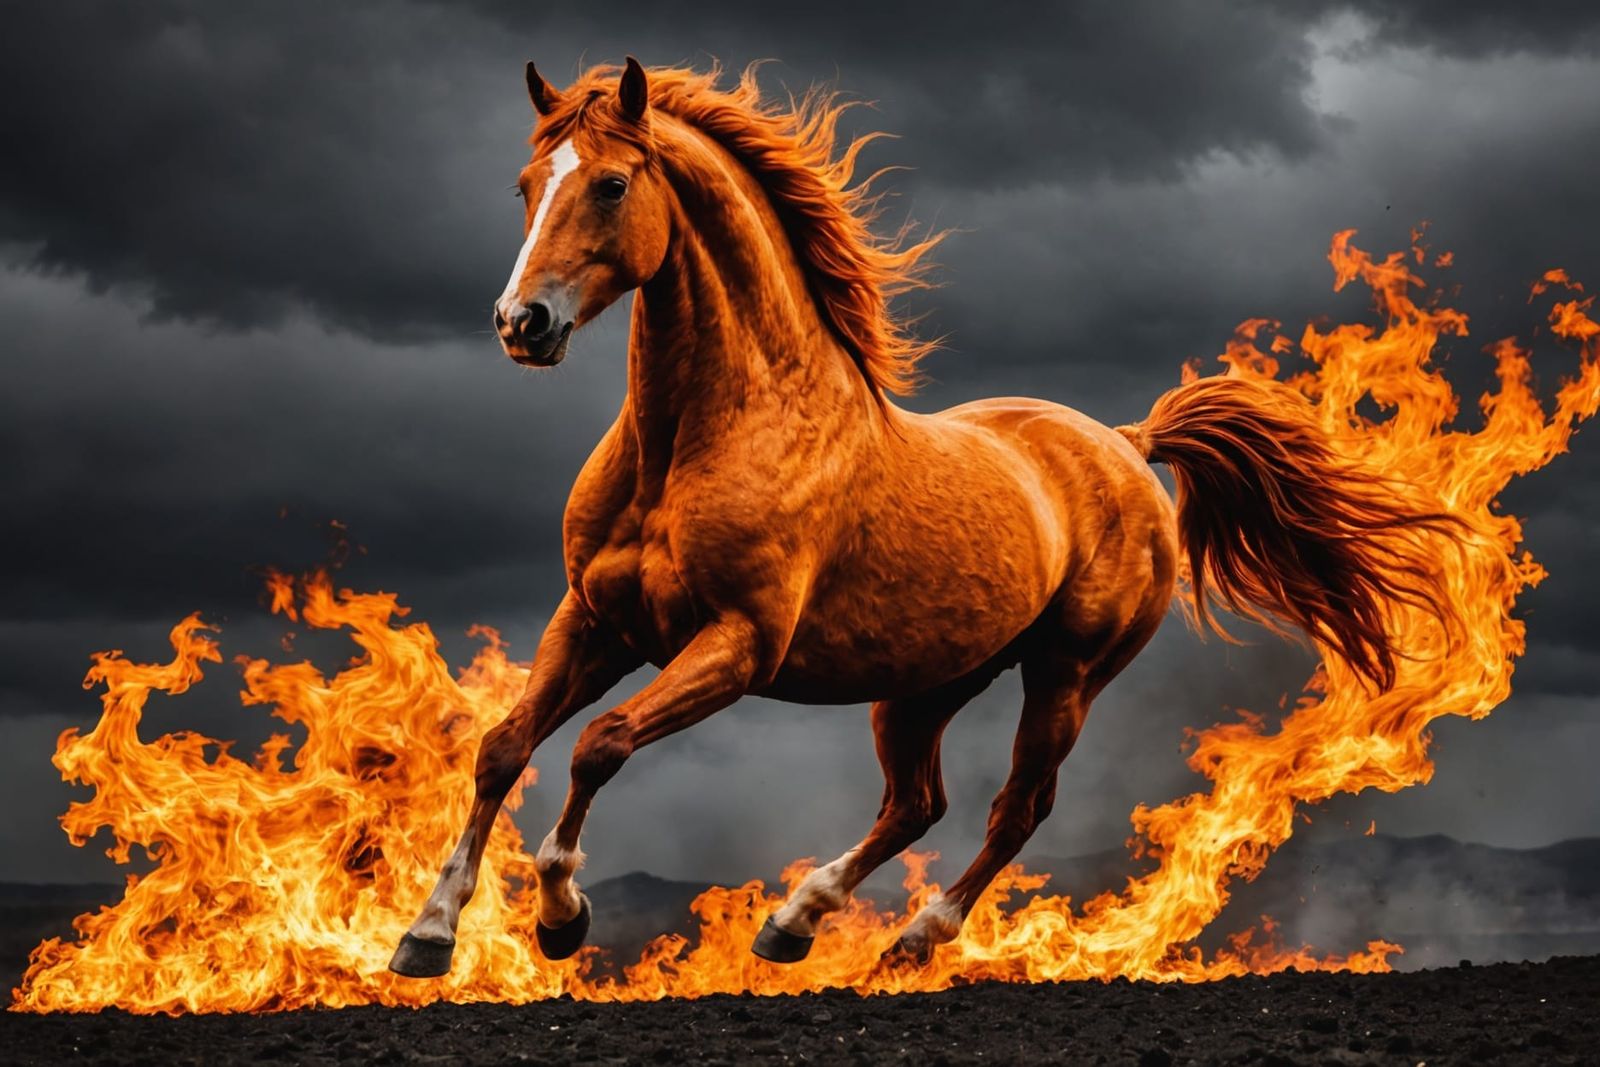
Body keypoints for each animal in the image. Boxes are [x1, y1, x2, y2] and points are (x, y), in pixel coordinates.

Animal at [388, 58, 1454, 979]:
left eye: (610, 184)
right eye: (527, 183)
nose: (521, 323)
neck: (700, 440)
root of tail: (1125, 441)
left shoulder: (736, 645)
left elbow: (598, 744)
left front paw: (562, 915)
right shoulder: (596, 621)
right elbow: (505, 746)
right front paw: (429, 934)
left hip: (1065, 675)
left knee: (1016, 806)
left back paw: (912, 939)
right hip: (926, 682)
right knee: (916, 803)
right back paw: (792, 921)